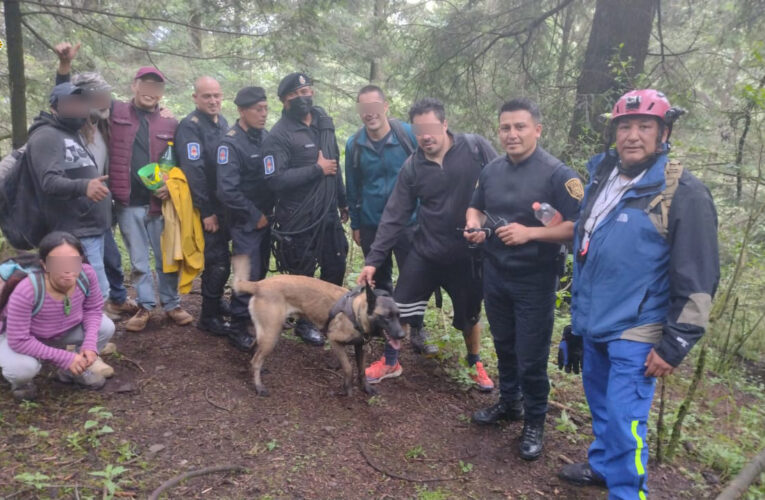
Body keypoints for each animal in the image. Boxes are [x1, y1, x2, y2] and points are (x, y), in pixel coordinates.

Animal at [230, 256, 406, 396]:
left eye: (398, 315)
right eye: (386, 317)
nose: (402, 335)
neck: (356, 312)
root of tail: (259, 285)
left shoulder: (360, 347)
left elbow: (362, 370)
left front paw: (366, 388)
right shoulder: (335, 341)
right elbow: (348, 368)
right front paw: (346, 389)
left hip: (268, 331)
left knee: (254, 350)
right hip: (271, 334)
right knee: (256, 360)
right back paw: (259, 387)